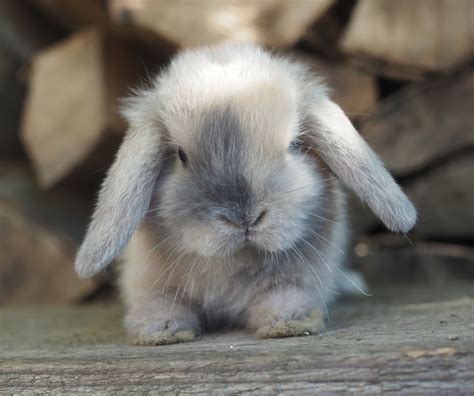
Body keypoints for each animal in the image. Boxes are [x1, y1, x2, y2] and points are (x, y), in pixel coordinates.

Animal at [74, 44, 414, 344]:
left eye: (294, 145)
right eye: (181, 156)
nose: (245, 218)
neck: (236, 260)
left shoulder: (297, 280)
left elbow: (283, 297)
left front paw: (289, 322)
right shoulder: (150, 283)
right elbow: (161, 303)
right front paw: (161, 330)